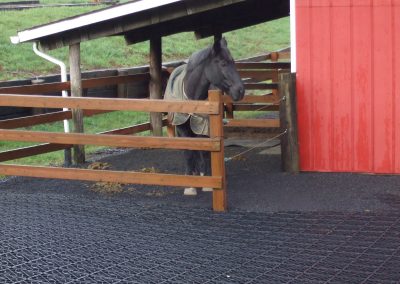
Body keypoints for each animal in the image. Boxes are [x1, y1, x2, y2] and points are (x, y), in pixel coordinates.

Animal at [164, 37, 245, 195]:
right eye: (223, 63)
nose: (240, 91)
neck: (192, 99)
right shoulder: (183, 128)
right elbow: (189, 153)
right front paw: (190, 185)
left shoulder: (204, 127)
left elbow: (205, 152)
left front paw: (207, 180)